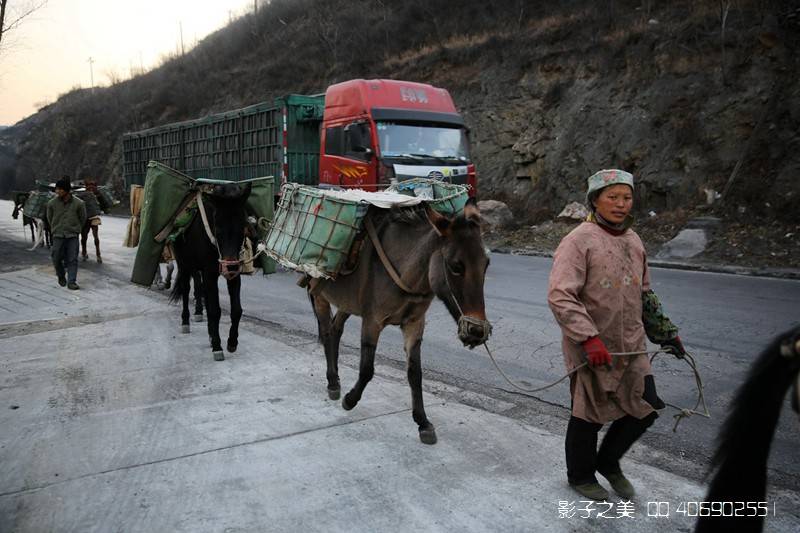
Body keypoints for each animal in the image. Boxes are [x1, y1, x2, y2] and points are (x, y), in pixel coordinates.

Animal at [310, 202, 490, 442]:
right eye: (456, 266)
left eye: (486, 264)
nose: (476, 331)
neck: (408, 275)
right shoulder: (372, 322)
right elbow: (367, 369)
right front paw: (350, 400)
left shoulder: (414, 324)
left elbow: (415, 373)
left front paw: (423, 422)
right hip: (320, 293)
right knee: (326, 330)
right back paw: (332, 382)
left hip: (348, 302)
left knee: (335, 328)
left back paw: (336, 379)